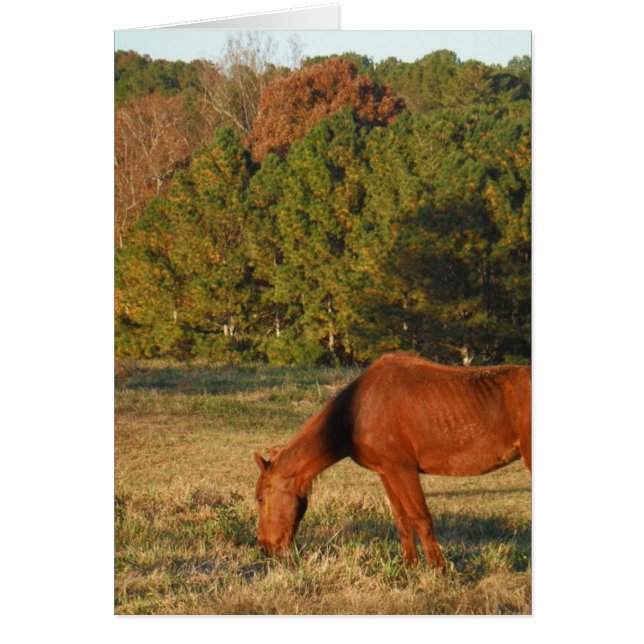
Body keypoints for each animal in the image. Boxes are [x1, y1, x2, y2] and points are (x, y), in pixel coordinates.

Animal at [254, 352, 531, 567]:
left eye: (260, 499)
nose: (265, 547)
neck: (358, 410)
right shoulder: (387, 472)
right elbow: (402, 520)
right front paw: (410, 567)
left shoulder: (403, 470)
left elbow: (421, 518)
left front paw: (438, 570)